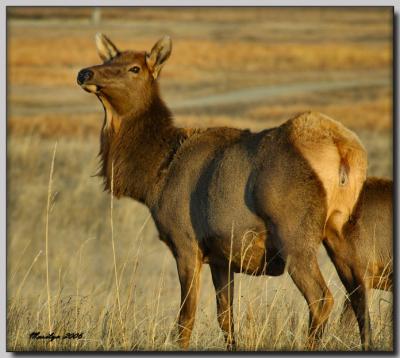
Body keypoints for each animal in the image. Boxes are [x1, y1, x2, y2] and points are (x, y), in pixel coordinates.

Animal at [76, 35, 368, 352]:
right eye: (108, 60)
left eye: (134, 68)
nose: (85, 73)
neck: (155, 175)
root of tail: (344, 150)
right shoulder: (220, 256)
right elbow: (225, 319)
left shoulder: (186, 242)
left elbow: (185, 320)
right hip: (339, 230)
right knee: (358, 295)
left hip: (294, 233)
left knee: (321, 298)